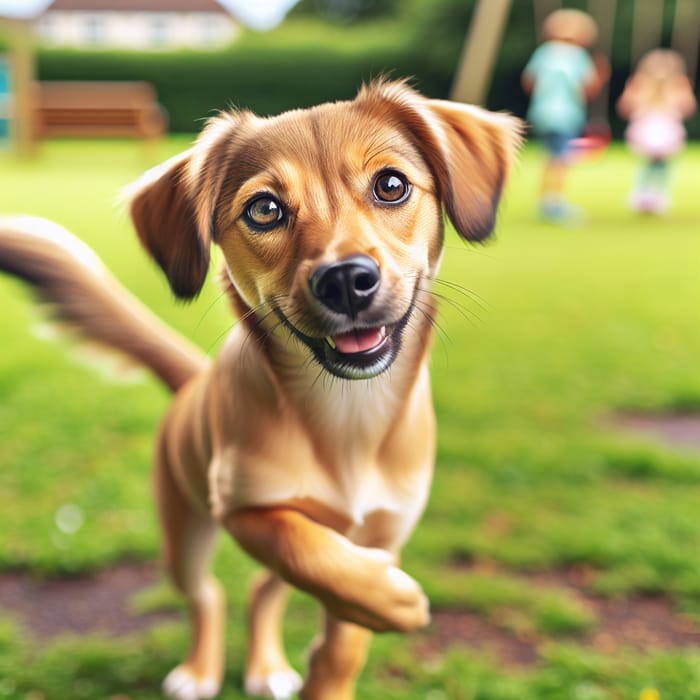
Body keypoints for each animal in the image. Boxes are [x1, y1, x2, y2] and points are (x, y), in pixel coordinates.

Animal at [0, 79, 520, 696]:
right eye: (265, 209)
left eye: (391, 185)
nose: (346, 279)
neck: (347, 415)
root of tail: (193, 382)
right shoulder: (245, 509)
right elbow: (305, 549)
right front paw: (394, 603)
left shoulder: (383, 534)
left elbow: (343, 632)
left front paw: (344, 652)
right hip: (184, 534)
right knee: (208, 593)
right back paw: (200, 671)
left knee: (261, 590)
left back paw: (269, 666)